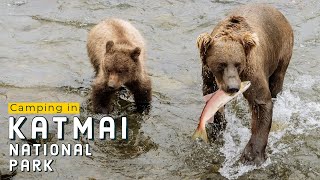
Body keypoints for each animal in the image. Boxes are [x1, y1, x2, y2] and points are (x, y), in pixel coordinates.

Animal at [196, 3, 294, 165]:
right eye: (221, 64)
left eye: (238, 63)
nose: (233, 87)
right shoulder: (208, 77)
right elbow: (212, 99)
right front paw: (219, 126)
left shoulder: (251, 72)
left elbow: (261, 103)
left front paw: (251, 156)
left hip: (283, 51)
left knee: (276, 83)